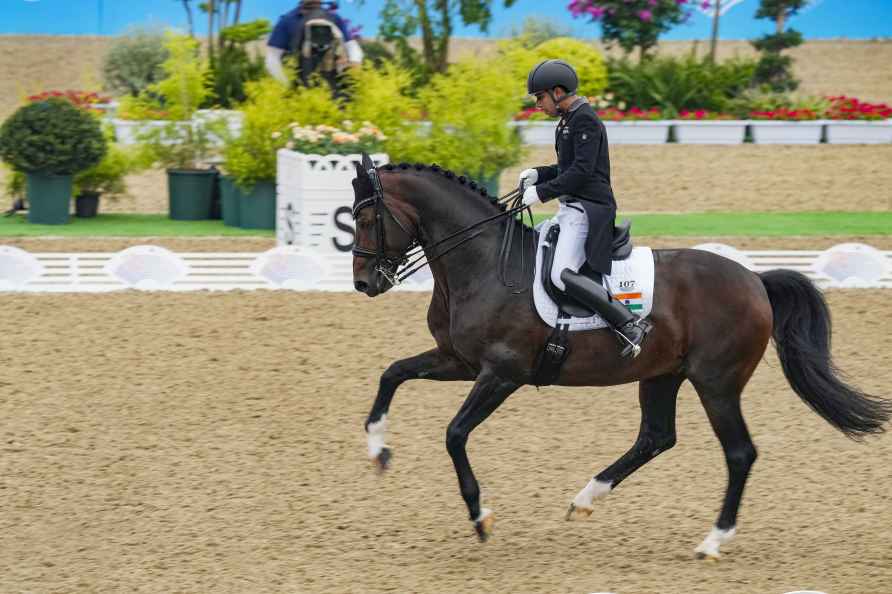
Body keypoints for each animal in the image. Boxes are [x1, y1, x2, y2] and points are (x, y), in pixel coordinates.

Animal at [350, 158, 892, 556]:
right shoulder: (457, 361)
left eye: (367, 218)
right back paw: (585, 499)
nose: (364, 283)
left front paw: (480, 517)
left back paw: (712, 542)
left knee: (739, 453)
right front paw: (377, 450)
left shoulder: (501, 374)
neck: (482, 262)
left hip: (716, 383)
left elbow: (455, 434)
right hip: (662, 375)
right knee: (656, 437)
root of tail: (756, 280)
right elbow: (391, 374)